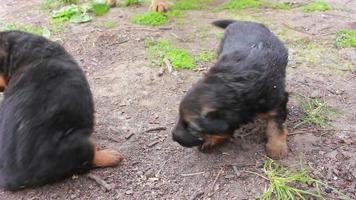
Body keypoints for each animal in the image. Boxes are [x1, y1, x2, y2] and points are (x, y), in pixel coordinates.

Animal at [172, 19, 290, 159]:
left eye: (194, 129)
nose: (174, 137)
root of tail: (244, 21)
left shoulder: (277, 102)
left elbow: (275, 126)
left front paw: (277, 148)